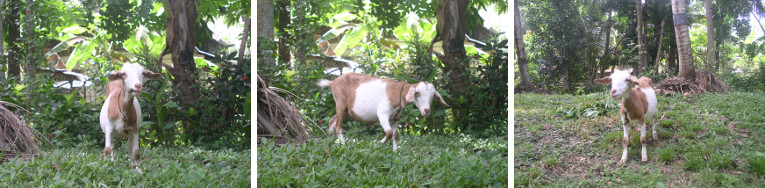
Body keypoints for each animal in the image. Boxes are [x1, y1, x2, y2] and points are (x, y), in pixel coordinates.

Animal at [316, 72, 448, 152]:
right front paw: (376, 145)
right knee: (338, 126)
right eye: (418, 93)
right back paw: (343, 145)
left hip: (346, 111)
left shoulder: (395, 118)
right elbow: (389, 132)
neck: (397, 93)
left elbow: (395, 134)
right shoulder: (382, 114)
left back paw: (330, 142)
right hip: (340, 103)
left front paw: (395, 151)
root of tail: (333, 82)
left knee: (332, 122)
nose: (427, 110)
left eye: (433, 96)